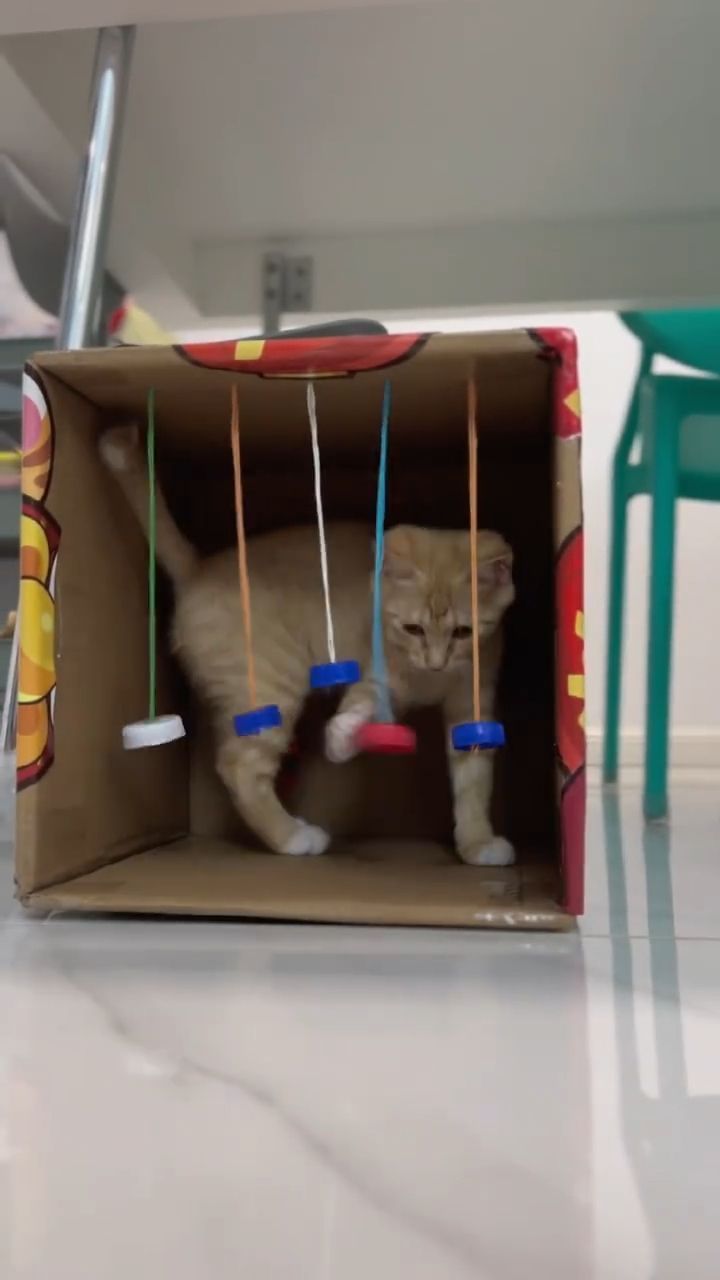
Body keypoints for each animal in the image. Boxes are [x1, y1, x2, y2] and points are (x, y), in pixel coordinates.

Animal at [102, 424, 515, 865]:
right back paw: (293, 838)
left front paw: (477, 843)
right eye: (413, 628)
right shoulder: (379, 675)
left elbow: (473, 780)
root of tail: (199, 569)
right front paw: (341, 737)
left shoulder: (472, 702)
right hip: (270, 688)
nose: (436, 664)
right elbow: (360, 702)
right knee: (239, 766)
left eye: (463, 633)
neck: (429, 680)